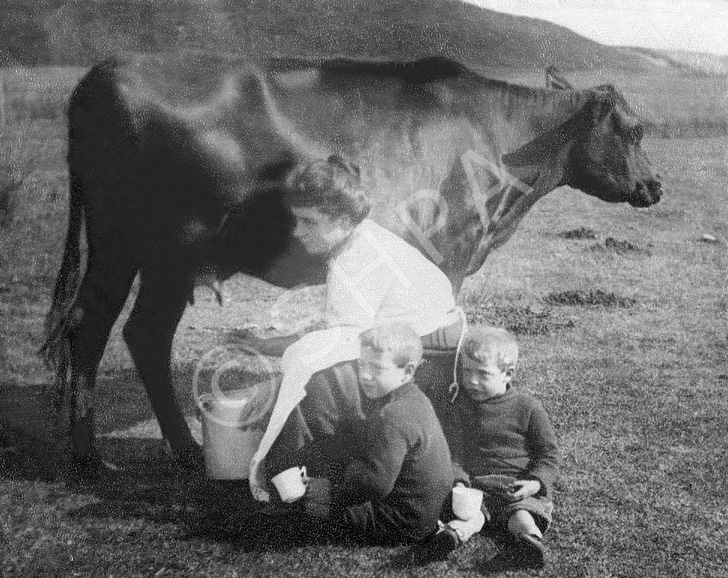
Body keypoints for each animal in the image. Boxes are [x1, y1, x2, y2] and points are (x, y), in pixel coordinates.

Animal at [41, 55, 660, 476]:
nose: (655, 185)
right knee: (92, 329)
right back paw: (89, 459)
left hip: (162, 259)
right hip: (132, 247)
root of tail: (103, 73)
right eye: (633, 129)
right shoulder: (449, 257)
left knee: (143, 333)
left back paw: (185, 449)